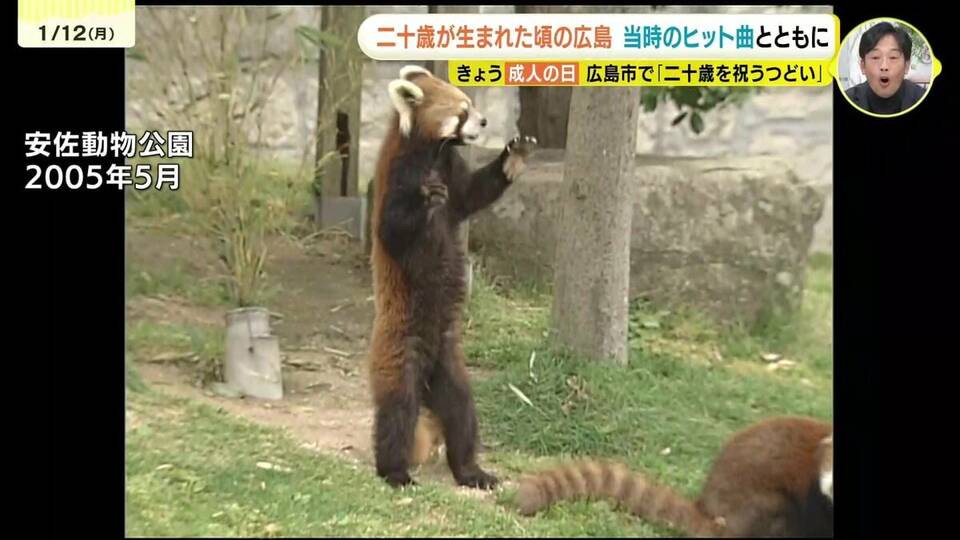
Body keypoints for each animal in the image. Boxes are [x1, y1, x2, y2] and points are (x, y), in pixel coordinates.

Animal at [366, 65, 537, 489]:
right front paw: (425, 198)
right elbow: (392, 228)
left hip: (450, 359)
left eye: (471, 104)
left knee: (461, 410)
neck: (431, 153)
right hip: (401, 348)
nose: (484, 121)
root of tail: (428, 367)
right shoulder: (398, 174)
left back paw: (471, 470)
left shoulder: (453, 172)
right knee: (397, 411)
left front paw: (513, 157)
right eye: (462, 112)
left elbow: (474, 194)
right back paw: (395, 471)